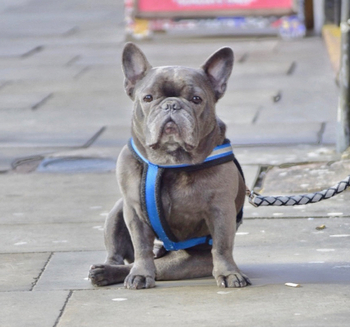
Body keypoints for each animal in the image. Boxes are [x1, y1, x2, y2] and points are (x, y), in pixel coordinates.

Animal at [89, 42, 250, 290]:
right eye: (148, 97)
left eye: (196, 99)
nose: (172, 104)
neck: (171, 161)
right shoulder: (133, 211)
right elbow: (141, 247)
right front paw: (140, 274)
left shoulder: (221, 209)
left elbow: (222, 245)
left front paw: (229, 273)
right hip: (118, 210)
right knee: (121, 254)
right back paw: (107, 270)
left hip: (187, 261)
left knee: (163, 266)